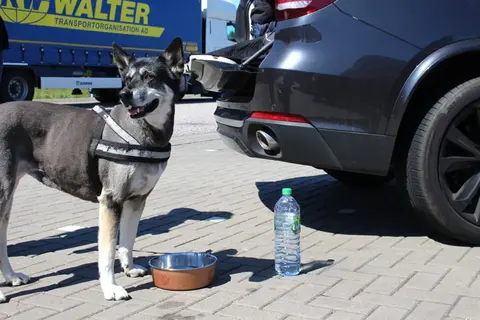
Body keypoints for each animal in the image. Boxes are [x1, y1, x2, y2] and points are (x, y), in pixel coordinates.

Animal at [0, 36, 185, 302]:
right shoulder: (110, 199)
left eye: (149, 77)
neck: (143, 133)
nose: (123, 95)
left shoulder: (137, 200)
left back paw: (10, 276)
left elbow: (127, 240)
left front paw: (129, 268)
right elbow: (107, 252)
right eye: (127, 79)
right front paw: (111, 287)